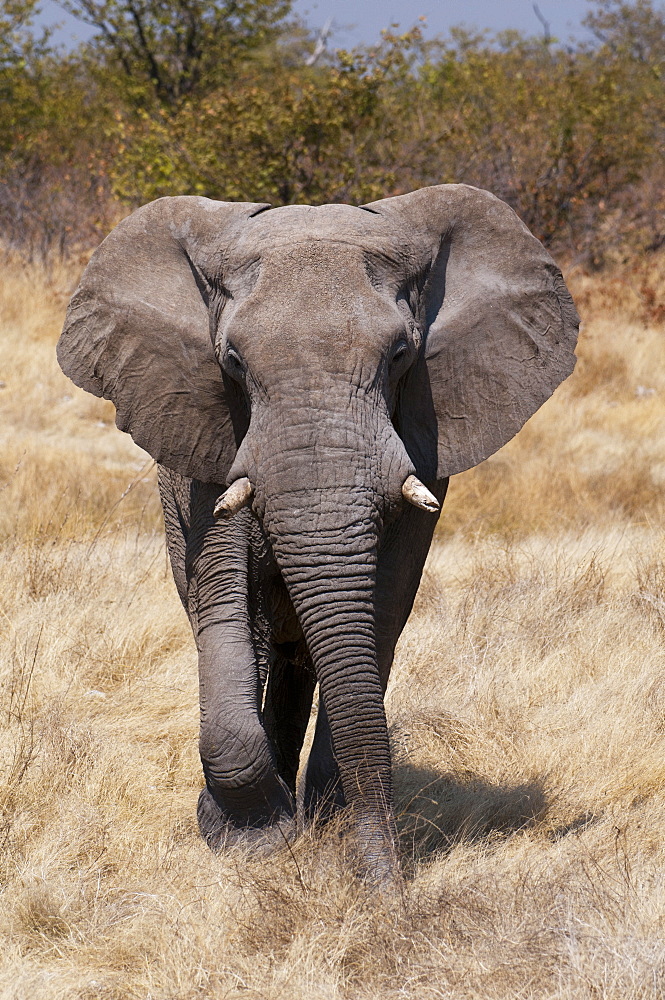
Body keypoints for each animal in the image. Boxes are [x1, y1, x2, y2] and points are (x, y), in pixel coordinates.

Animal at [55, 182, 576, 884]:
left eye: (400, 356)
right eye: (232, 361)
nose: (389, 892)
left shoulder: (423, 441)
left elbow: (381, 606)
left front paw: (327, 829)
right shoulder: (207, 436)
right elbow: (226, 602)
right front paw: (252, 839)